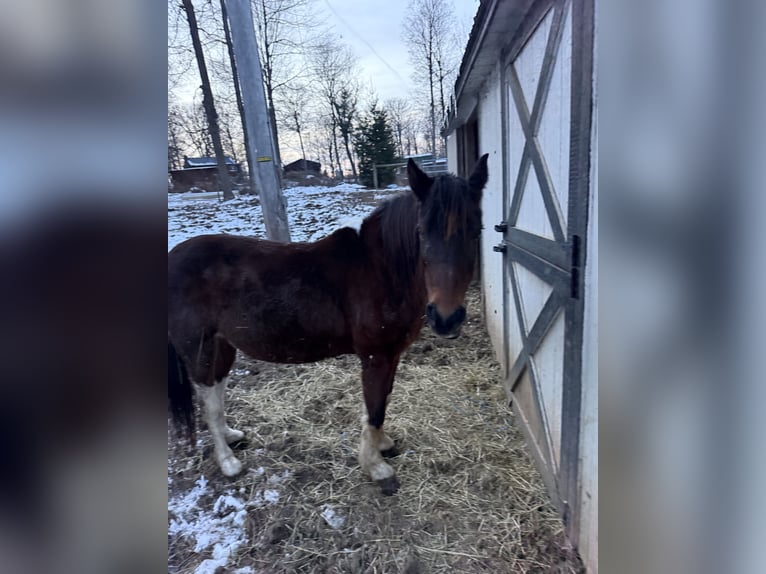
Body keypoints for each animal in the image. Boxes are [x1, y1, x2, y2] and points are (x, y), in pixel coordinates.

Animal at [168, 154, 489, 495]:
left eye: (476, 230)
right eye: (422, 231)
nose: (446, 318)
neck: (381, 270)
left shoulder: (391, 355)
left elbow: (383, 400)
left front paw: (383, 445)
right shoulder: (375, 357)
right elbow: (375, 407)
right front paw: (376, 466)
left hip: (222, 346)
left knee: (216, 391)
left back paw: (232, 437)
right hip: (199, 348)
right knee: (209, 403)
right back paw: (228, 462)